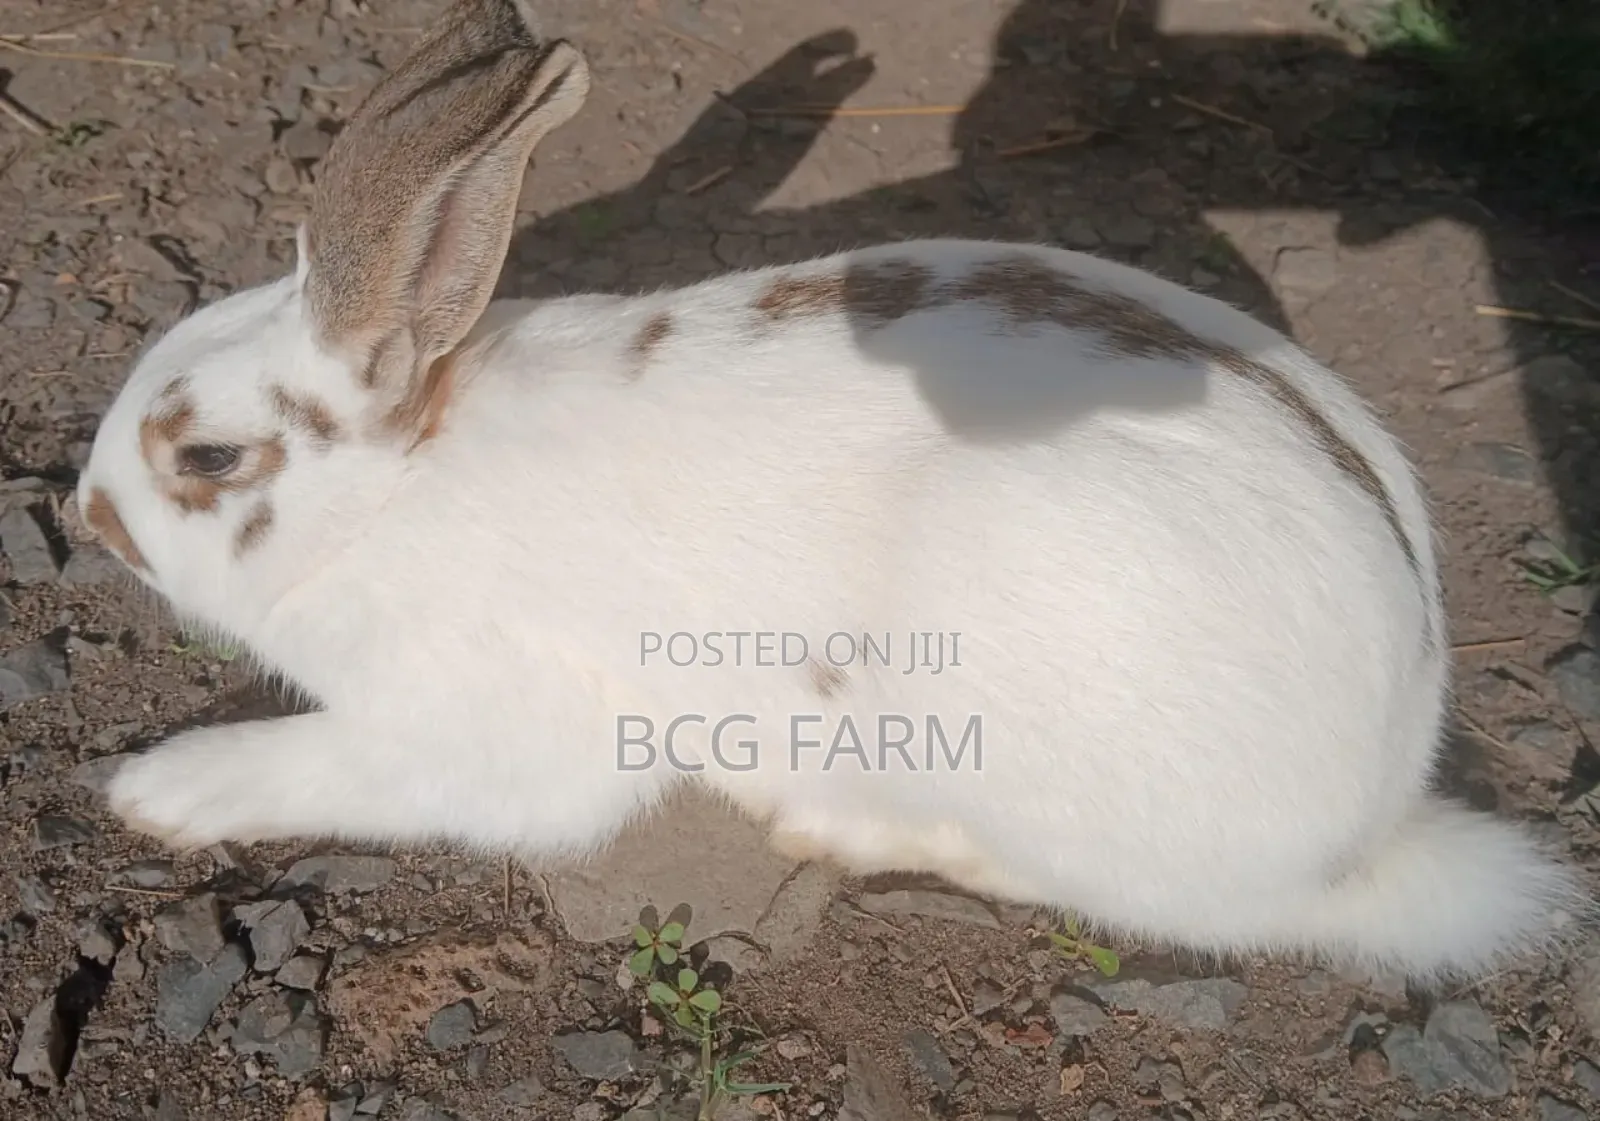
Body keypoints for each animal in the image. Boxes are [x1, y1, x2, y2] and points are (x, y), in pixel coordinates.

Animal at [79, 0, 1591, 987]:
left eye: (208, 460)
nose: (88, 511)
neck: (395, 490)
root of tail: (1371, 815)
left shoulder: (487, 724)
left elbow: (335, 763)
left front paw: (157, 788)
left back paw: (836, 822)